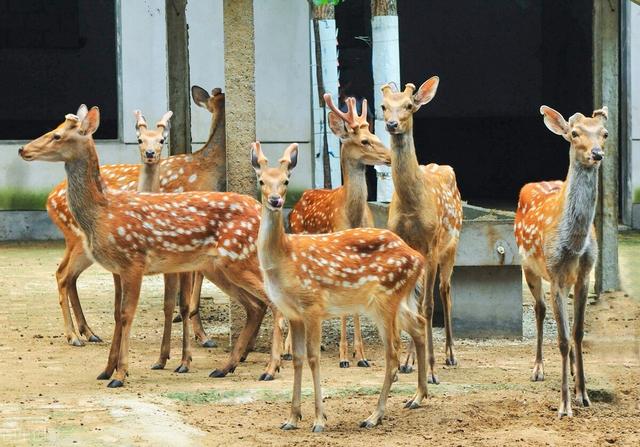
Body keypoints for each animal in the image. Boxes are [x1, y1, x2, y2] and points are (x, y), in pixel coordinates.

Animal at [46, 85, 224, 350]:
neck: (209, 170)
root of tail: (48, 199)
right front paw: (200, 334)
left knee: (68, 275)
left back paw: (88, 332)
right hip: (78, 239)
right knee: (63, 274)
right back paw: (75, 335)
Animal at [252, 142, 428, 432]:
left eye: (286, 180)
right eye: (261, 181)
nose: (275, 200)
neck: (285, 258)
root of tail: (419, 258)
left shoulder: (312, 305)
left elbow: (313, 357)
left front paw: (319, 420)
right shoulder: (293, 313)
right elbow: (297, 359)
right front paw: (291, 418)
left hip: (387, 300)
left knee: (393, 353)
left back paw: (374, 416)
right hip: (398, 299)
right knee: (420, 325)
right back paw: (417, 397)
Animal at [288, 93, 392, 368]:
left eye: (376, 134)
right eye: (365, 141)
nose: (390, 157)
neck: (353, 217)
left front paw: (361, 355)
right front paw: (345, 356)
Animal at [378, 78, 462, 384]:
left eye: (408, 105)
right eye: (383, 106)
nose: (392, 124)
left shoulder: (432, 244)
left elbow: (427, 305)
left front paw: (433, 370)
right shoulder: (406, 246)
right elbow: (410, 305)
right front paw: (404, 363)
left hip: (452, 245)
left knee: (446, 291)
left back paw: (450, 355)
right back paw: (411, 360)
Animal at [516, 106, 608, 420]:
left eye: (605, 134)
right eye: (575, 133)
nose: (597, 153)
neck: (574, 245)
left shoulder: (585, 274)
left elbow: (578, 334)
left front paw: (584, 395)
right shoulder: (555, 273)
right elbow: (563, 338)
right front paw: (564, 406)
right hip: (528, 266)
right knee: (539, 308)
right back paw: (537, 368)